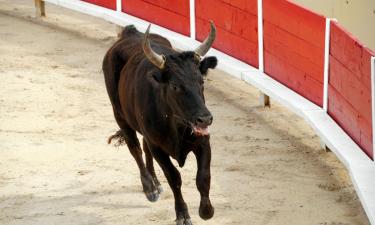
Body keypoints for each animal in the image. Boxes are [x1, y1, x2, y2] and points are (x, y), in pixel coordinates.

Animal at [103, 22, 219, 225]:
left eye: (202, 81)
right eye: (175, 86)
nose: (205, 118)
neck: (178, 126)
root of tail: (130, 33)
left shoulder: (203, 141)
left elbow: (203, 177)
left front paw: (206, 210)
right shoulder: (158, 148)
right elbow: (174, 177)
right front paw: (182, 214)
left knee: (143, 146)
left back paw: (156, 183)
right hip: (120, 116)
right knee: (135, 148)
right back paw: (150, 188)